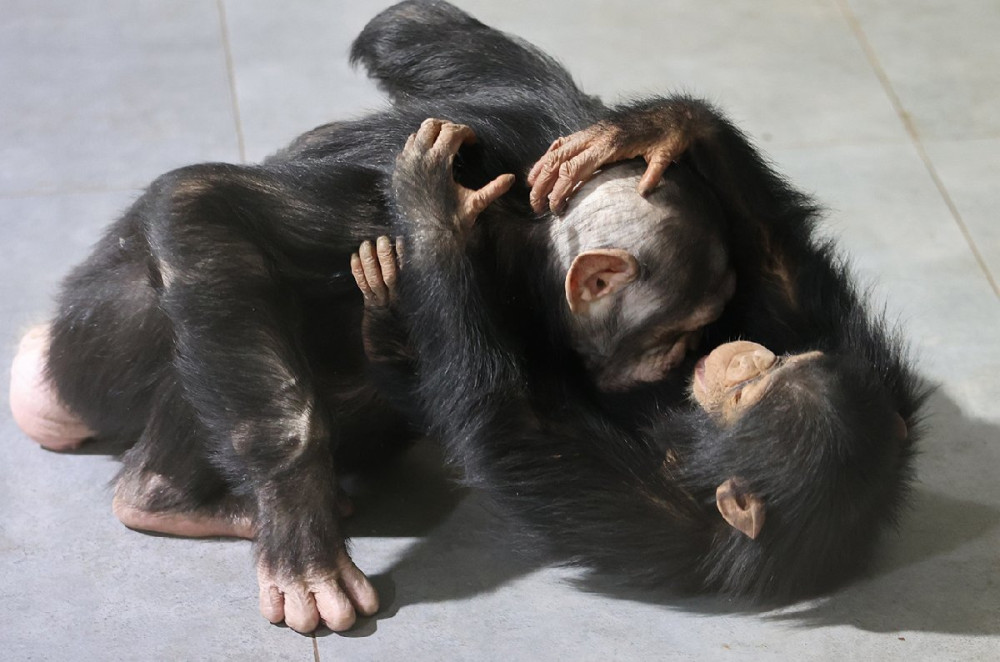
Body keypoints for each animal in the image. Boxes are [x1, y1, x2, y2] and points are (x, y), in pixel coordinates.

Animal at [7, 0, 744, 636]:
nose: (682, 361)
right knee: (238, 295)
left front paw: (657, 126)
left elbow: (418, 30)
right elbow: (201, 206)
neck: (525, 238)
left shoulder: (540, 112)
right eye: (677, 331)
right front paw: (303, 549)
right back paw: (170, 499)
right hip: (101, 356)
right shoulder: (371, 210)